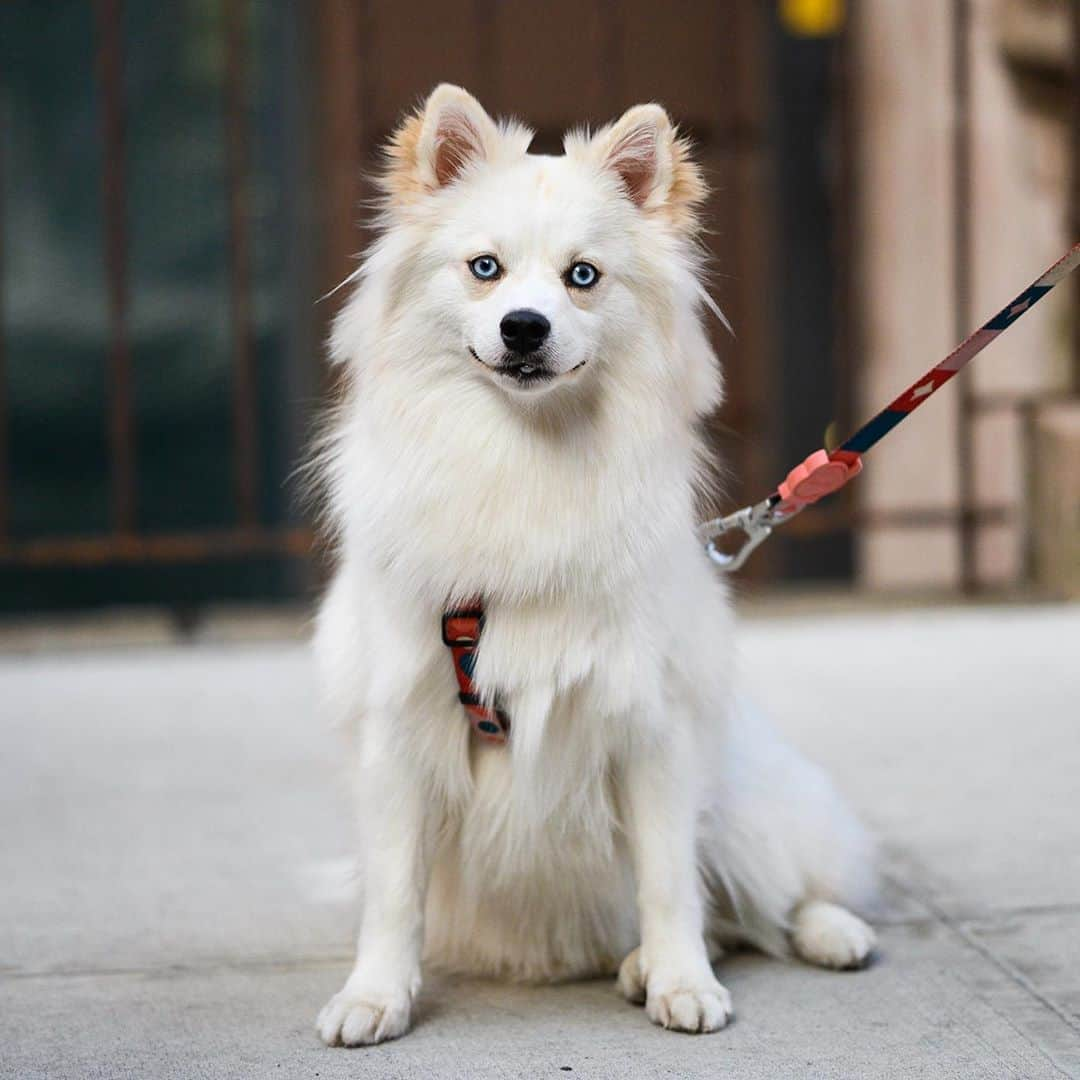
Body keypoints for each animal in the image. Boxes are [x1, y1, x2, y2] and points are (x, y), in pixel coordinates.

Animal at [313, 88, 876, 1049]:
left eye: (583, 277)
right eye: (486, 269)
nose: (524, 328)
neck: (527, 453)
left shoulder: (651, 727)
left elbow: (668, 878)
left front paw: (683, 983)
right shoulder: (400, 729)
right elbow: (393, 895)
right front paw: (375, 996)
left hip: (749, 806)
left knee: (772, 899)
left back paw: (816, 935)